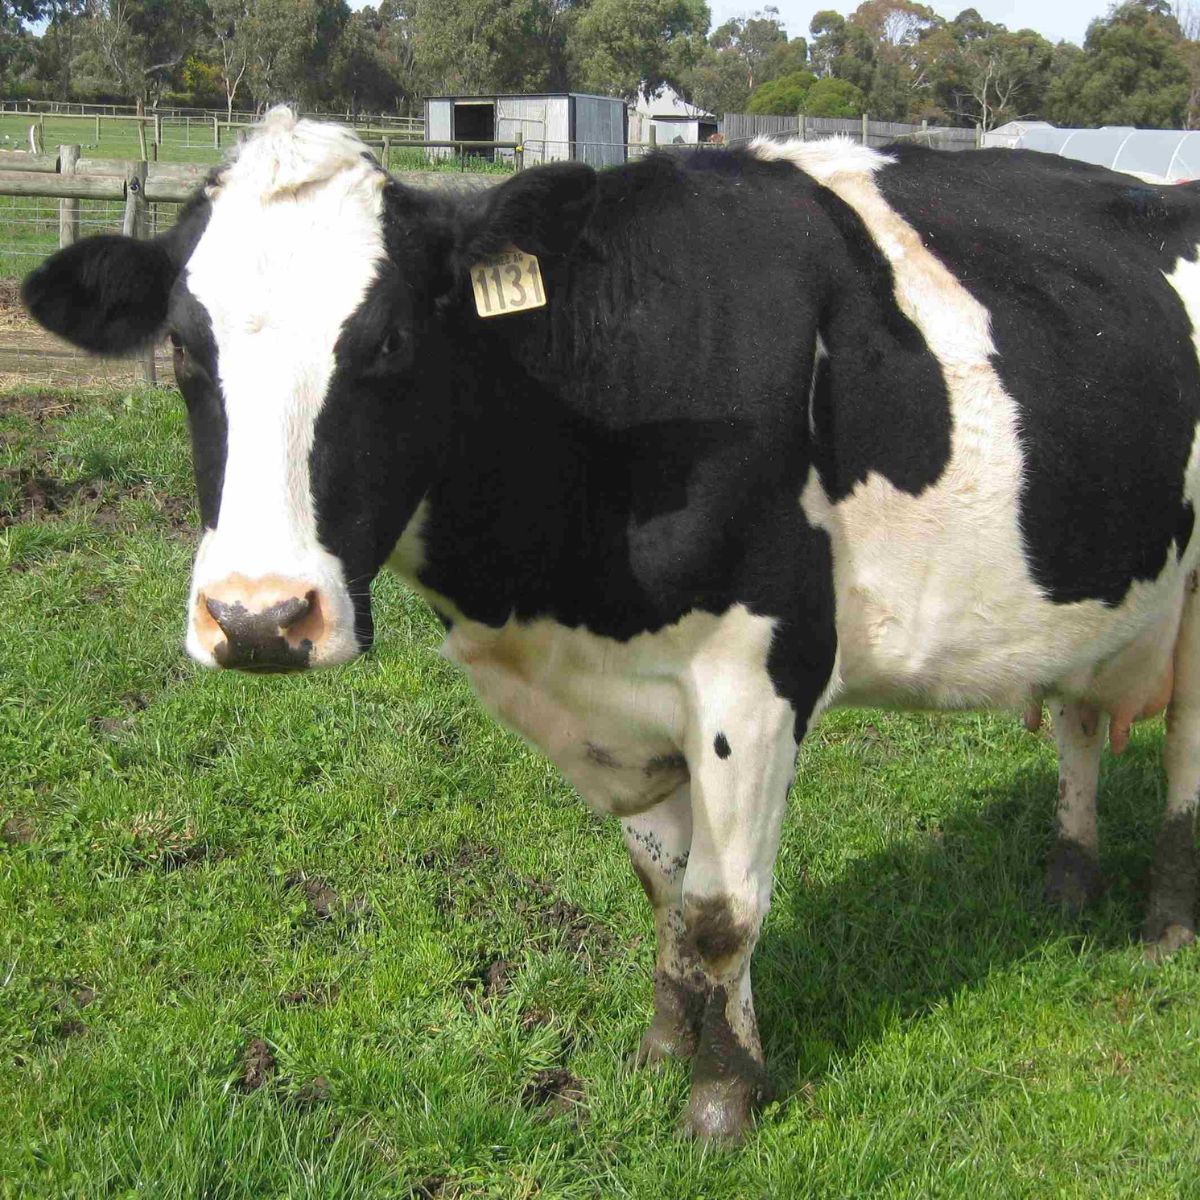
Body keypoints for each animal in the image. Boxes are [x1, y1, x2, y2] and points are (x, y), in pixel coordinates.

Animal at [22, 108, 1200, 1143]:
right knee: (1081, 719)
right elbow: (665, 891)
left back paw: (1165, 927)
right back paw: (1068, 884)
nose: (260, 616)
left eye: (391, 340)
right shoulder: (615, 696)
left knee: (1186, 756)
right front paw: (666, 1052)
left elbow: (724, 910)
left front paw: (723, 1101)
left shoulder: (758, 674)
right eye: (185, 351)